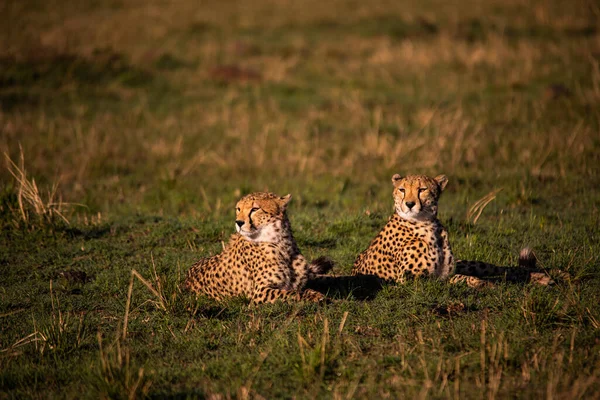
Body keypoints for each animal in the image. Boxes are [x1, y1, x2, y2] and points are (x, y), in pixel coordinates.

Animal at [185, 191, 332, 304]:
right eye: (238, 209)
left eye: (255, 209)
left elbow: (300, 289)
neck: (282, 244)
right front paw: (315, 296)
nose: (239, 222)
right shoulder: (259, 292)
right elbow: (290, 293)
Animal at [352, 173, 556, 286]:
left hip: (470, 263)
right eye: (402, 190)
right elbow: (459, 278)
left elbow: (464, 276)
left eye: (422, 189)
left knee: (499, 268)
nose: (409, 204)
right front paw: (484, 284)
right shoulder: (413, 280)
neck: (428, 224)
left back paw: (543, 276)